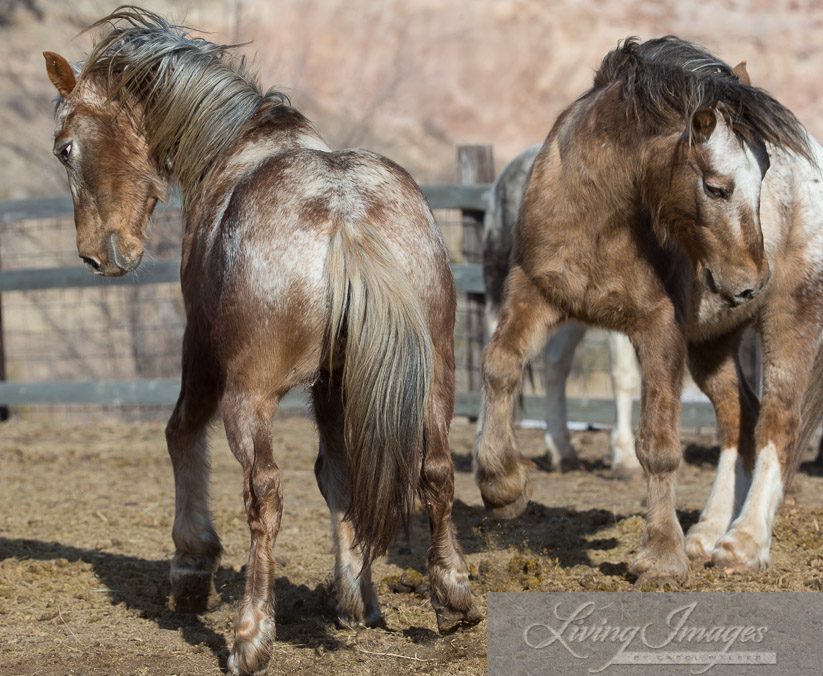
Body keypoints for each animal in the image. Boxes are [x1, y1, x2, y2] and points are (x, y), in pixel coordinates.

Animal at [45, 6, 480, 676]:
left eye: (65, 149)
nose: (99, 255)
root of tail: (345, 215)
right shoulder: (334, 381)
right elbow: (339, 474)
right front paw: (357, 596)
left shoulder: (200, 347)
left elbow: (180, 433)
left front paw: (192, 566)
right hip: (434, 377)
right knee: (435, 472)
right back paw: (453, 597)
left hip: (247, 396)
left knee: (264, 495)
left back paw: (251, 635)